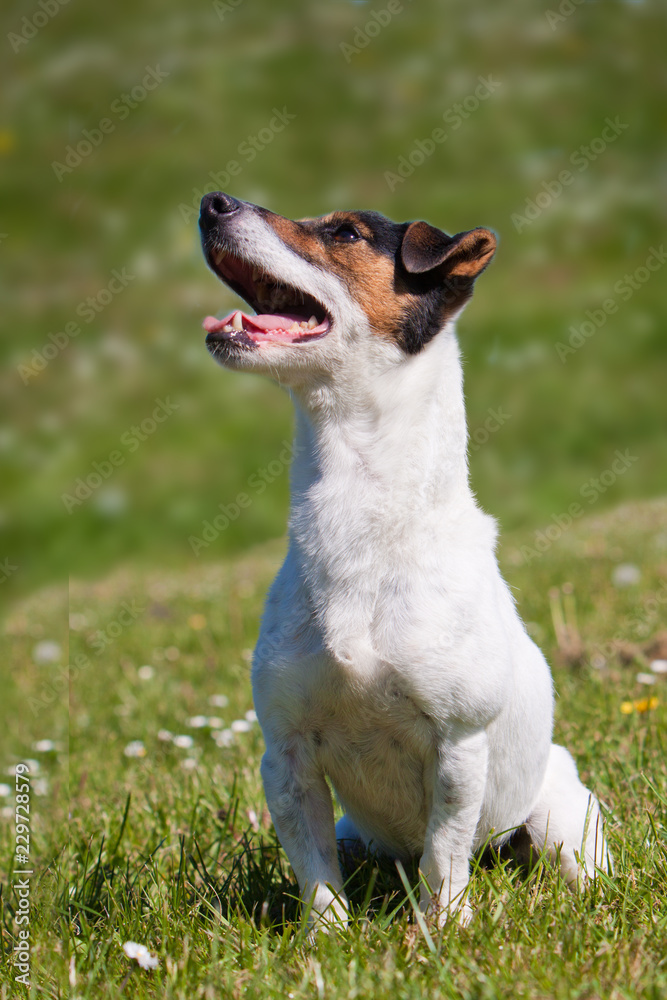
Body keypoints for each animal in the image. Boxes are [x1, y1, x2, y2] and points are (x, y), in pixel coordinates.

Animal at [197, 191, 612, 924]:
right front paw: (327, 939)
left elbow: (443, 854)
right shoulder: (284, 754)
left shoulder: (458, 742)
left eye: (344, 232)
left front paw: (442, 931)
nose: (212, 201)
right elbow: (314, 872)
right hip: (356, 833)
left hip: (560, 820)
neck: (357, 516)